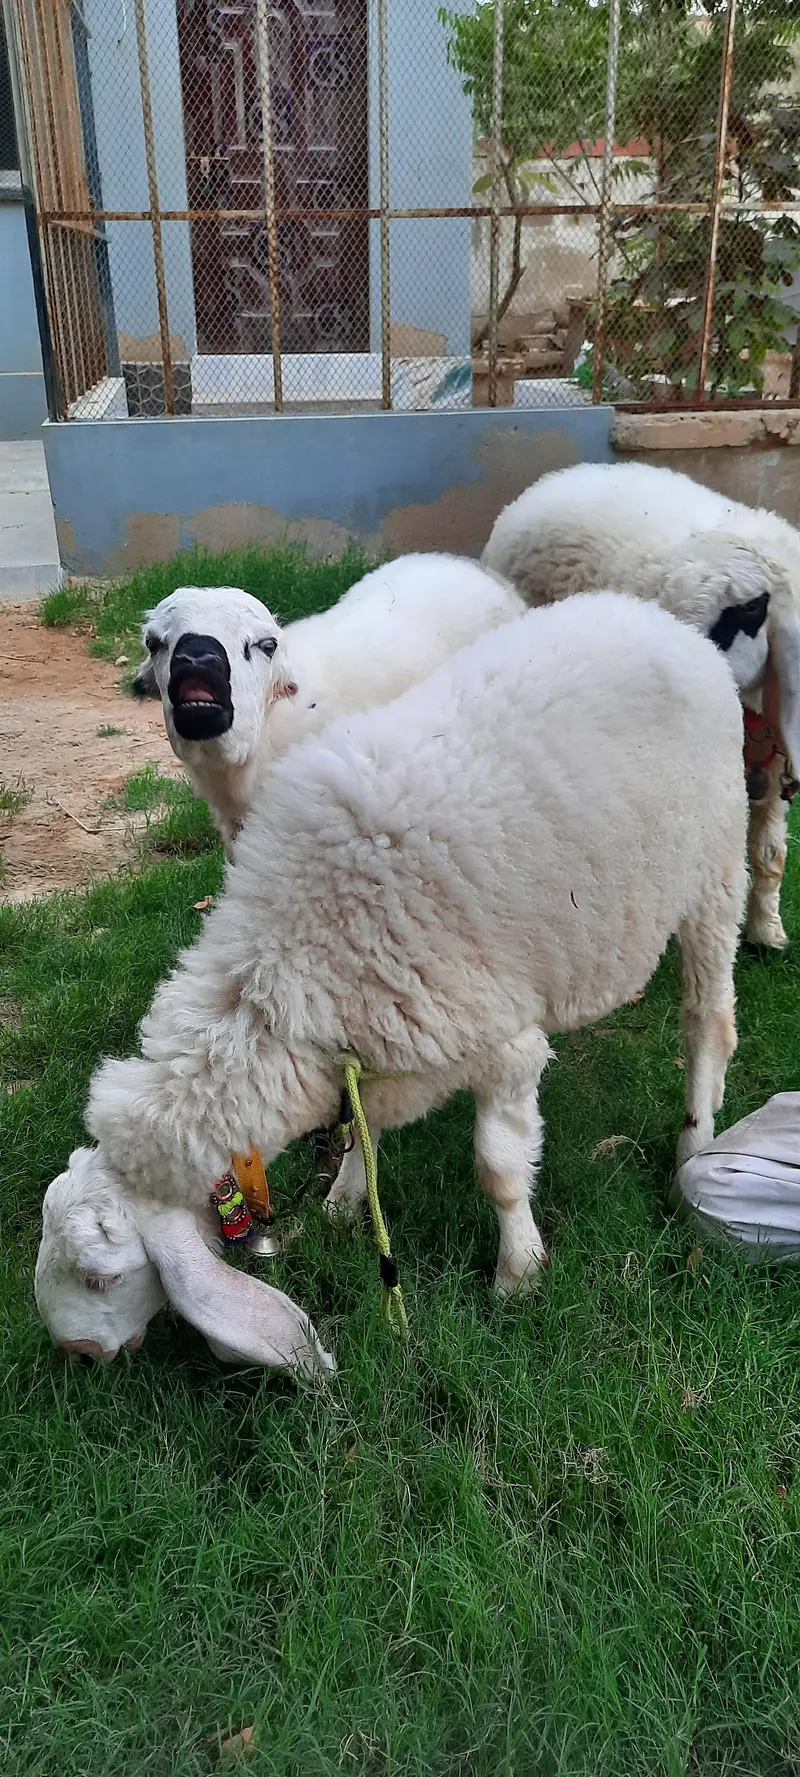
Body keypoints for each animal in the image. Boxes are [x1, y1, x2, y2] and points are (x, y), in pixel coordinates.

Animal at [35, 591, 747, 1373]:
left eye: (102, 1275)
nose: (76, 1352)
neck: (289, 953)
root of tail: (655, 617)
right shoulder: (370, 1036)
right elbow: (364, 1131)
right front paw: (346, 1200)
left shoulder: (502, 1045)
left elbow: (499, 1167)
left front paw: (518, 1273)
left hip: (717, 865)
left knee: (708, 1018)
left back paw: (694, 1144)